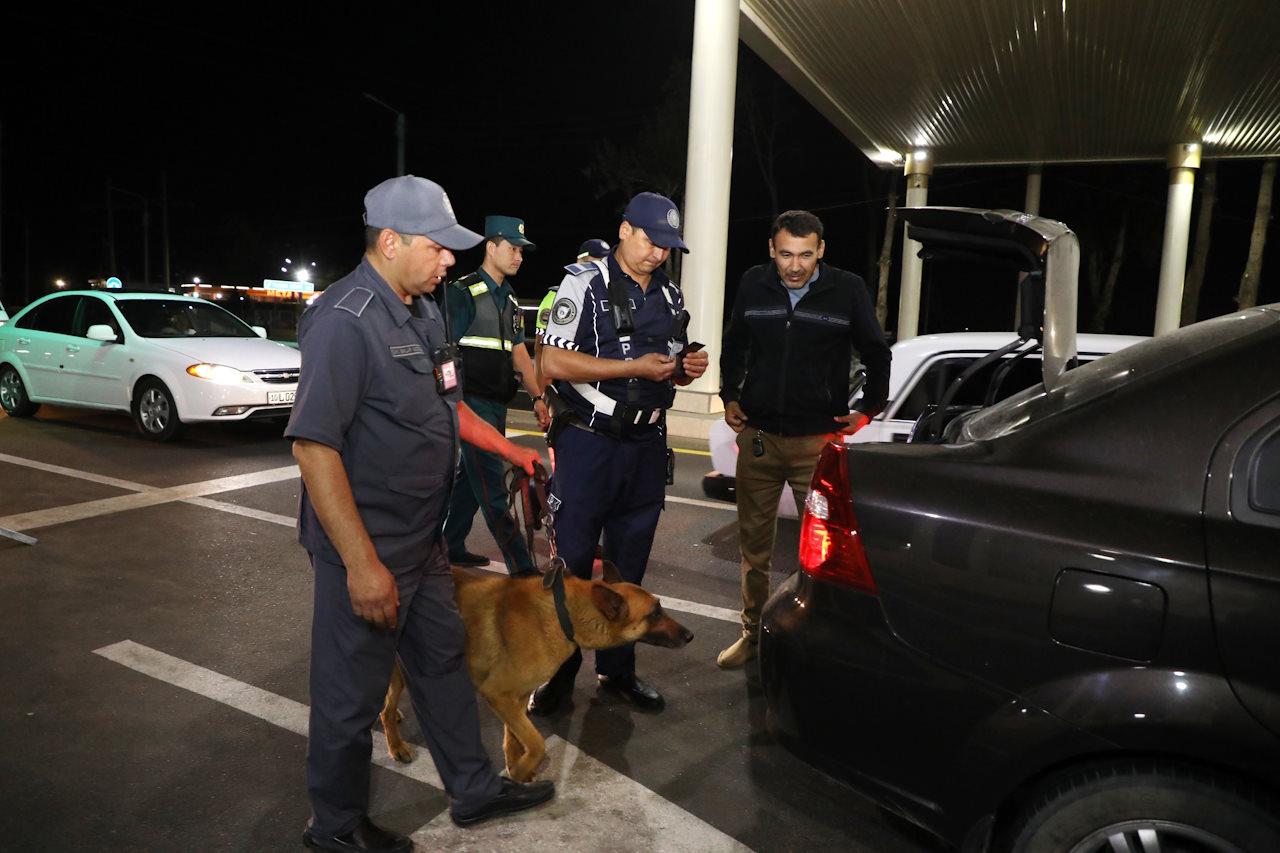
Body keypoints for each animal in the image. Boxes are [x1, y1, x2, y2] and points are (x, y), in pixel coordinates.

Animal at [378, 560, 696, 778]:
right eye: (655, 614)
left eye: (660, 607)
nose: (691, 636)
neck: (564, 614)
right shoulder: (498, 694)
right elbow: (536, 742)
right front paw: (519, 772)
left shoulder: (514, 699)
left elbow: (514, 738)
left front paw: (515, 766)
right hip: (399, 669)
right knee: (384, 709)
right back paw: (396, 745)